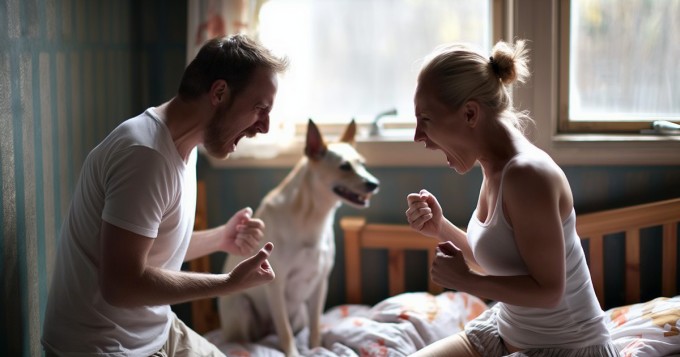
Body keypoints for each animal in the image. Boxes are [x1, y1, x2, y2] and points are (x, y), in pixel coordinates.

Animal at [218, 119, 380, 354]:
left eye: (362, 163)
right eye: (344, 166)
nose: (374, 184)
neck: (311, 215)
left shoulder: (320, 283)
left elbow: (315, 325)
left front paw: (315, 348)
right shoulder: (275, 285)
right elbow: (284, 331)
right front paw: (292, 353)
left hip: (300, 313)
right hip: (242, 308)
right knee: (245, 340)